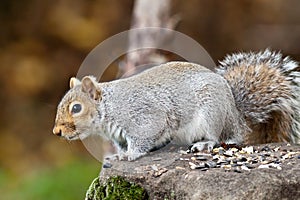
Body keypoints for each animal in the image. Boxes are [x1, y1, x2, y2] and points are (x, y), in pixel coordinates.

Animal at [54, 49, 300, 161]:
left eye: (76, 108)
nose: (57, 131)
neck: (110, 108)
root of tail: (236, 114)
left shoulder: (145, 118)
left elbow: (142, 141)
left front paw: (130, 155)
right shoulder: (119, 136)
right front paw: (117, 156)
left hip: (212, 113)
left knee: (224, 136)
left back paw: (206, 143)